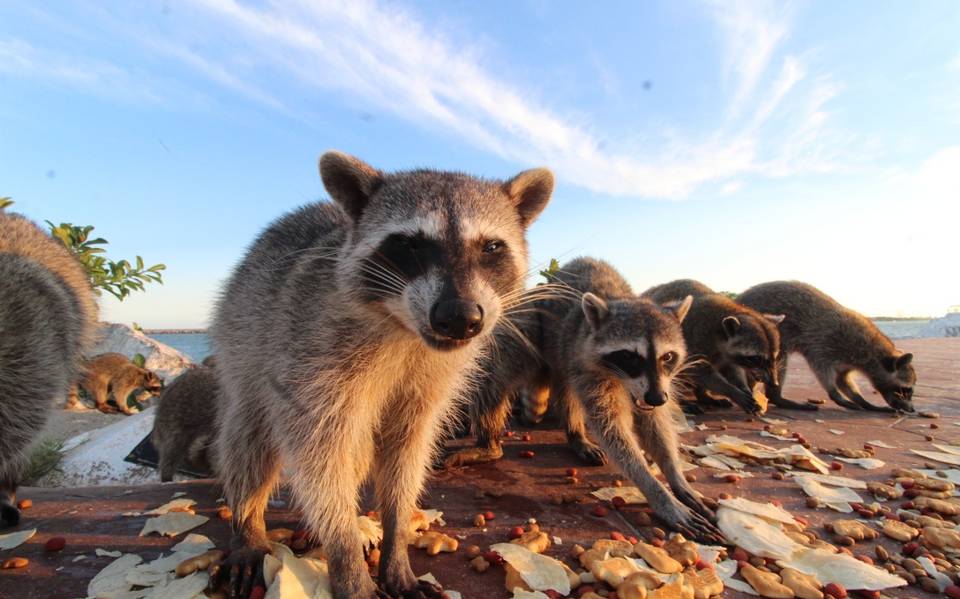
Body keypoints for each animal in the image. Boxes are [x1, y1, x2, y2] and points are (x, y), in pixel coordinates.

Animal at [210, 151, 556, 599]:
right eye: (409, 244)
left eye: (491, 246)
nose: (459, 316)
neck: (406, 330)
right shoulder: (310, 358)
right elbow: (319, 458)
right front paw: (345, 556)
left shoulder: (431, 383)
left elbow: (407, 453)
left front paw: (396, 538)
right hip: (242, 334)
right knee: (248, 435)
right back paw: (249, 522)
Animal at [450, 258, 720, 544]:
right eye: (630, 356)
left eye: (667, 356)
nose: (657, 398)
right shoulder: (590, 367)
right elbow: (612, 429)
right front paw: (656, 491)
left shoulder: (656, 383)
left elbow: (654, 423)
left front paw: (675, 476)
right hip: (531, 324)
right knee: (498, 373)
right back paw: (491, 444)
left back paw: (575, 435)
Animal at [640, 282, 792, 412]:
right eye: (756, 359)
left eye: (775, 357)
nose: (774, 383)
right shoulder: (694, 339)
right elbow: (698, 371)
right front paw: (731, 391)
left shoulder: (727, 355)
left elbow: (732, 369)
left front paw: (743, 388)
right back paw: (682, 401)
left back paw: (703, 395)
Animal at [740, 282, 920, 412]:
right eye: (905, 390)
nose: (912, 410)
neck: (872, 352)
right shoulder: (825, 341)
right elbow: (821, 368)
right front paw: (835, 394)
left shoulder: (846, 361)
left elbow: (842, 380)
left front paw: (864, 401)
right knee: (779, 360)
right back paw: (777, 397)